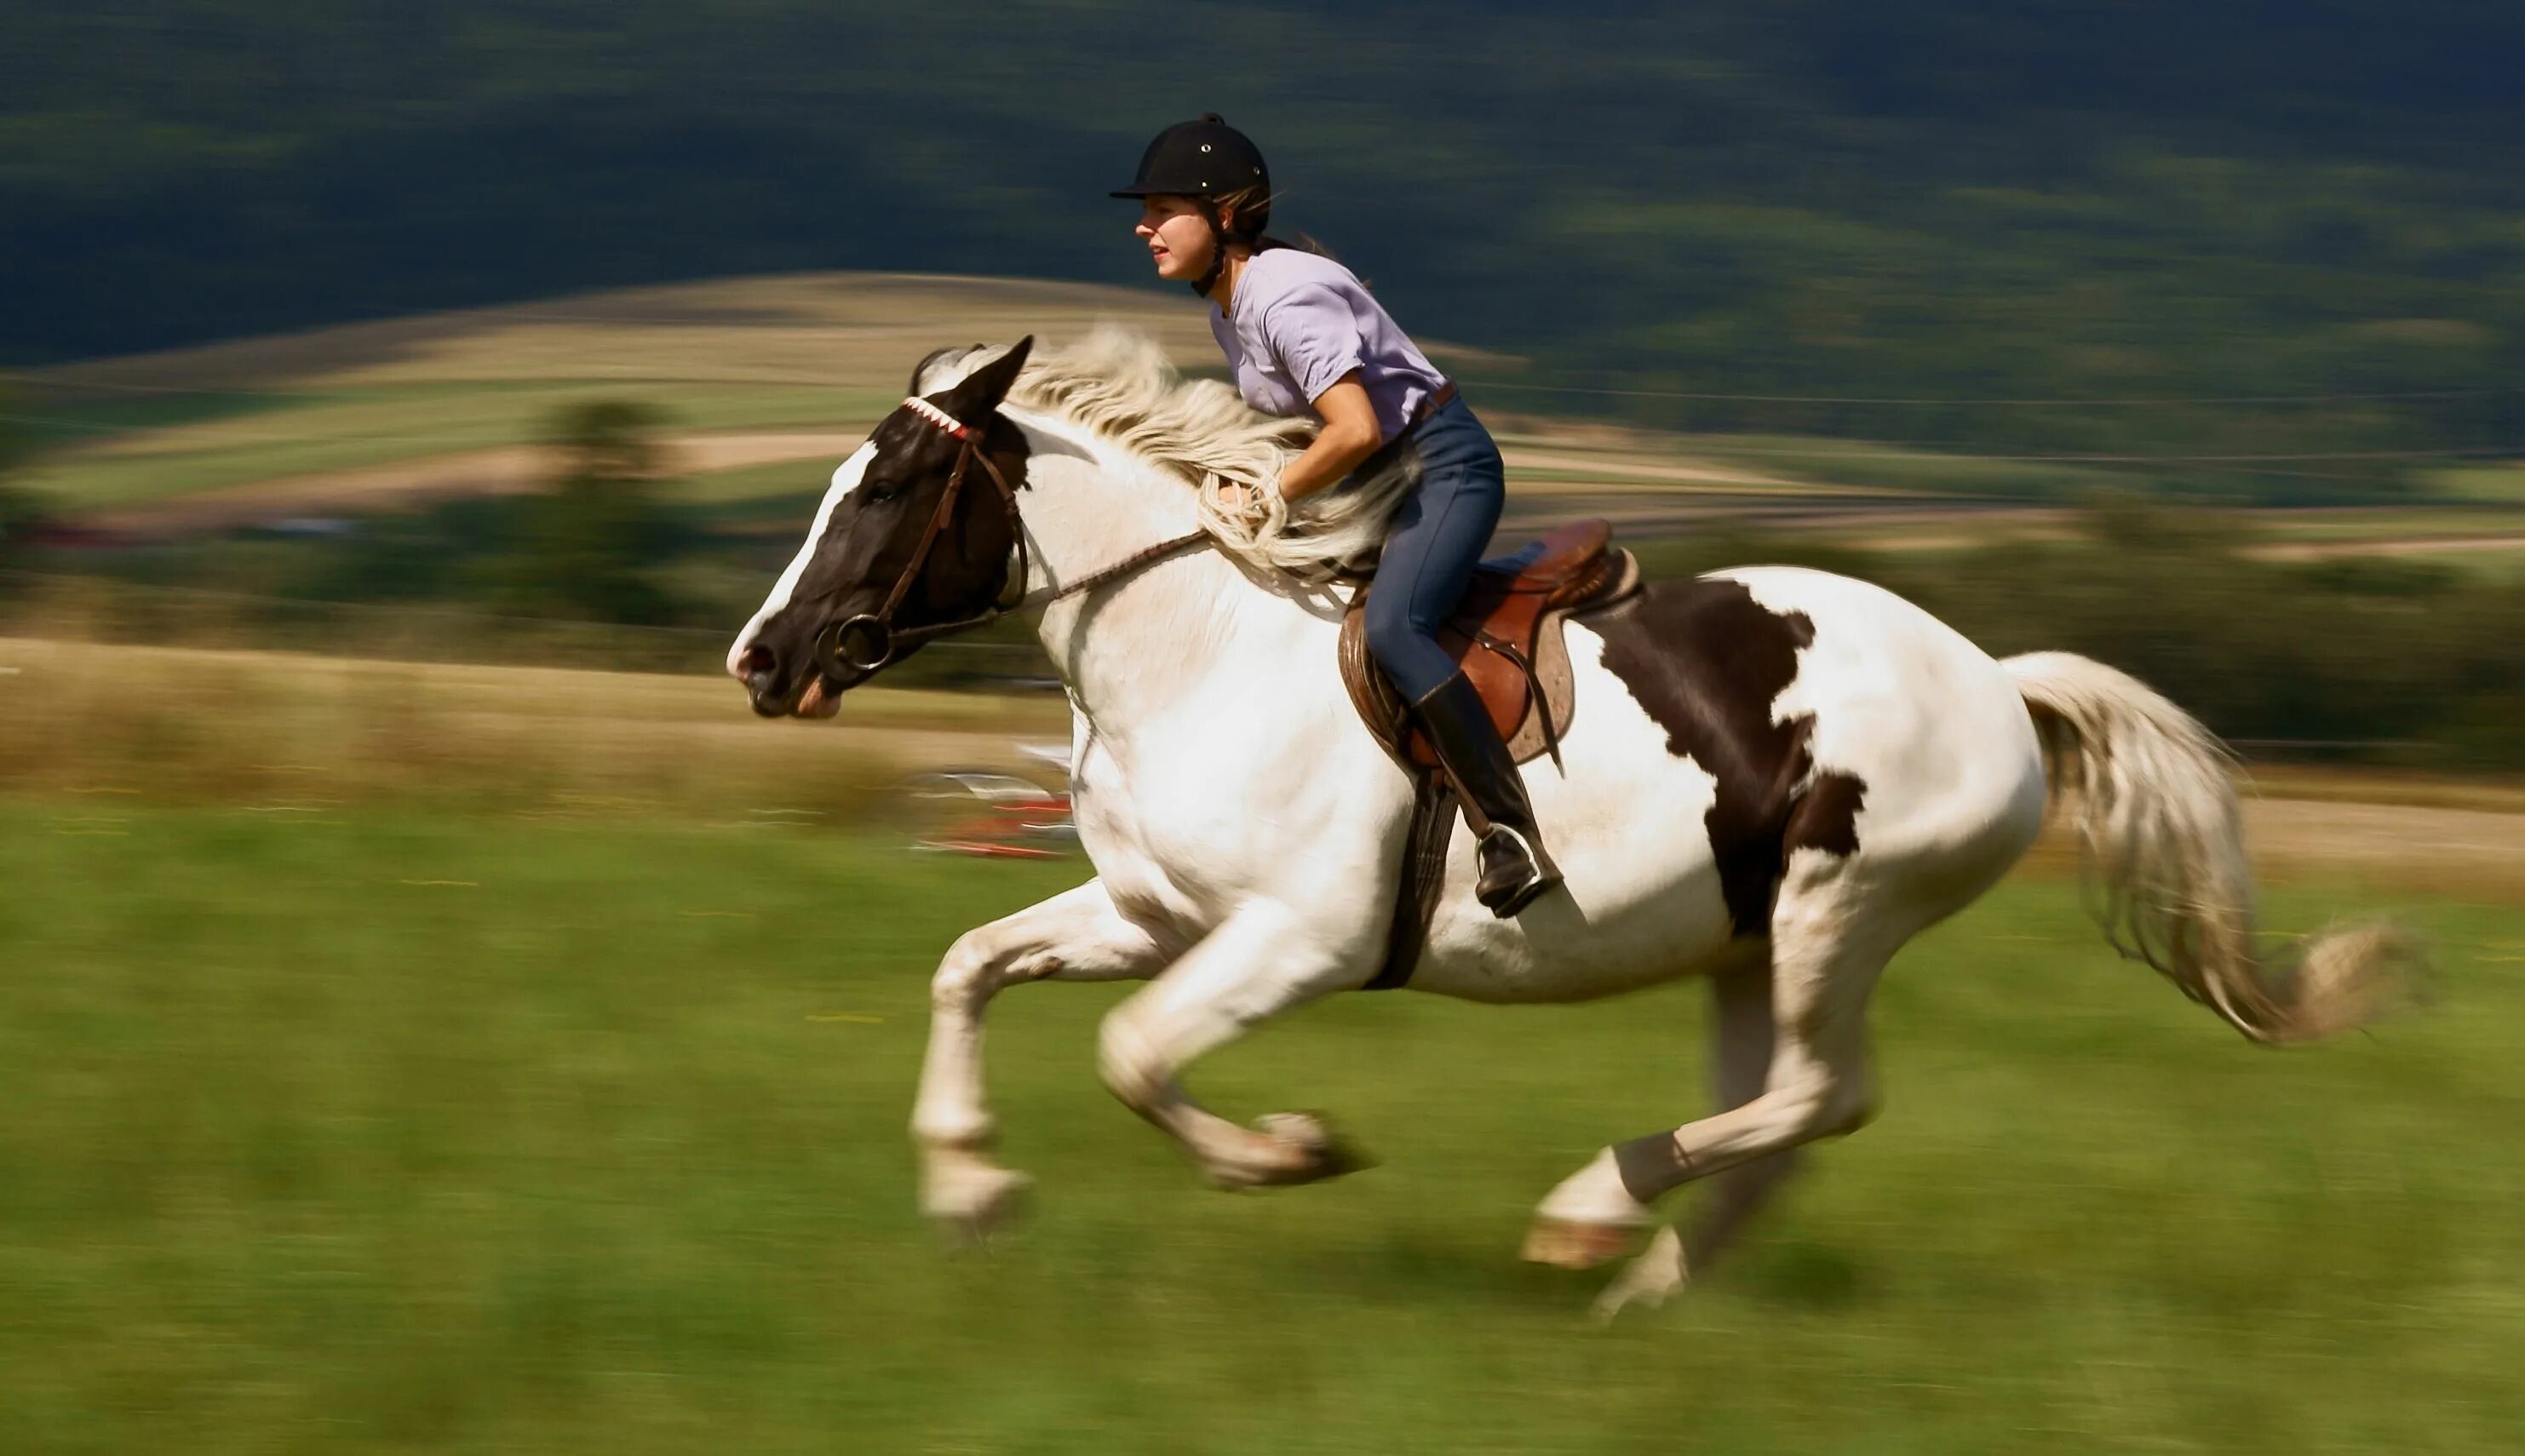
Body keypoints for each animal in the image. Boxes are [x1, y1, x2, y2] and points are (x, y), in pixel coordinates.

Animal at [726, 333, 2403, 1312]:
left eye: (884, 493)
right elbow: (969, 964)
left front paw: (1287, 1153)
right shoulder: (1153, 917)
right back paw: (1643, 1292)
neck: (1191, 645)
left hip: (1841, 912)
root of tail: (1998, 675)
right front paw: (972, 1186)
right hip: (1747, 943)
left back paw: (1592, 1213)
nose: (761, 661)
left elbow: (1135, 1058)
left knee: (1822, 1097)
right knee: (1787, 1117)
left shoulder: (1295, 941)